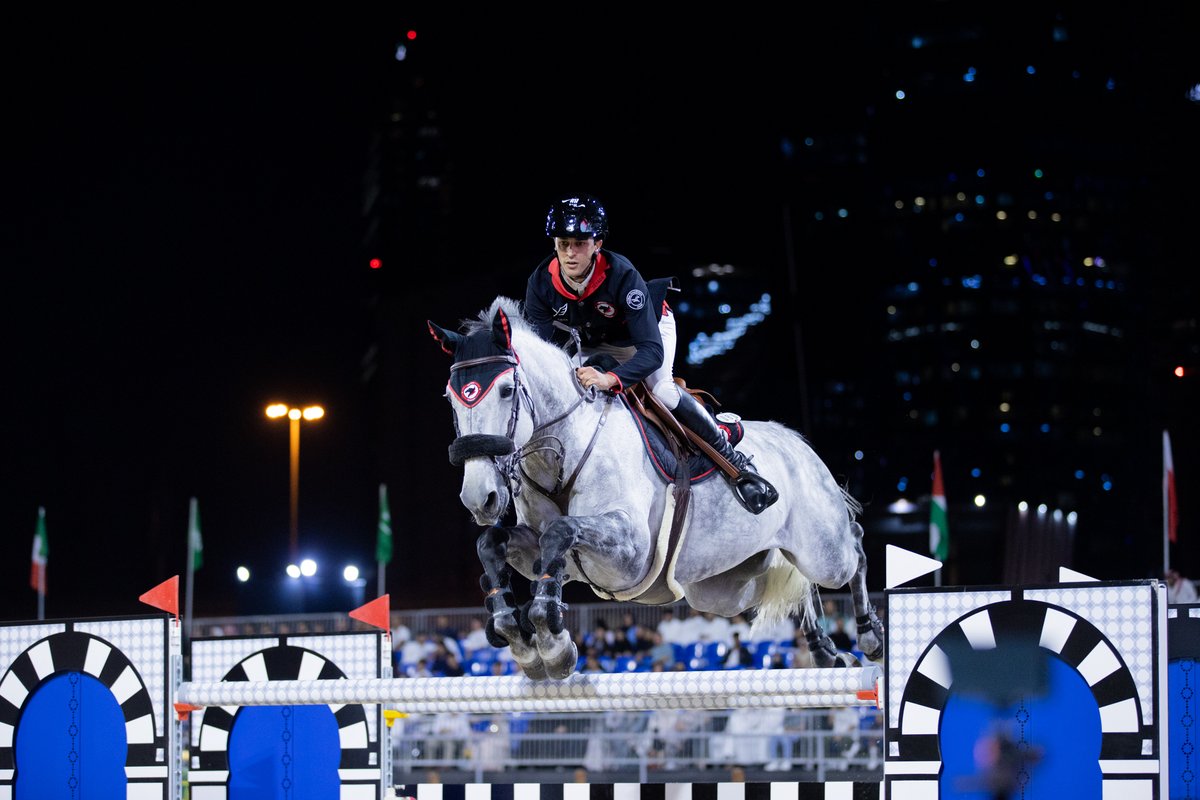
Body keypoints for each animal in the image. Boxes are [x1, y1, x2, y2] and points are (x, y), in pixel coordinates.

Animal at [429, 297, 883, 681]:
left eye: (506, 391)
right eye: (451, 399)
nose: (480, 499)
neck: (564, 451)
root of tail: (796, 440)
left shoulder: (630, 552)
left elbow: (562, 531)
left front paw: (551, 641)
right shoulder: (553, 554)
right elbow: (492, 543)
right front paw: (515, 630)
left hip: (822, 549)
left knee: (852, 547)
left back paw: (869, 636)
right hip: (725, 589)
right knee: (791, 579)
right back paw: (826, 651)